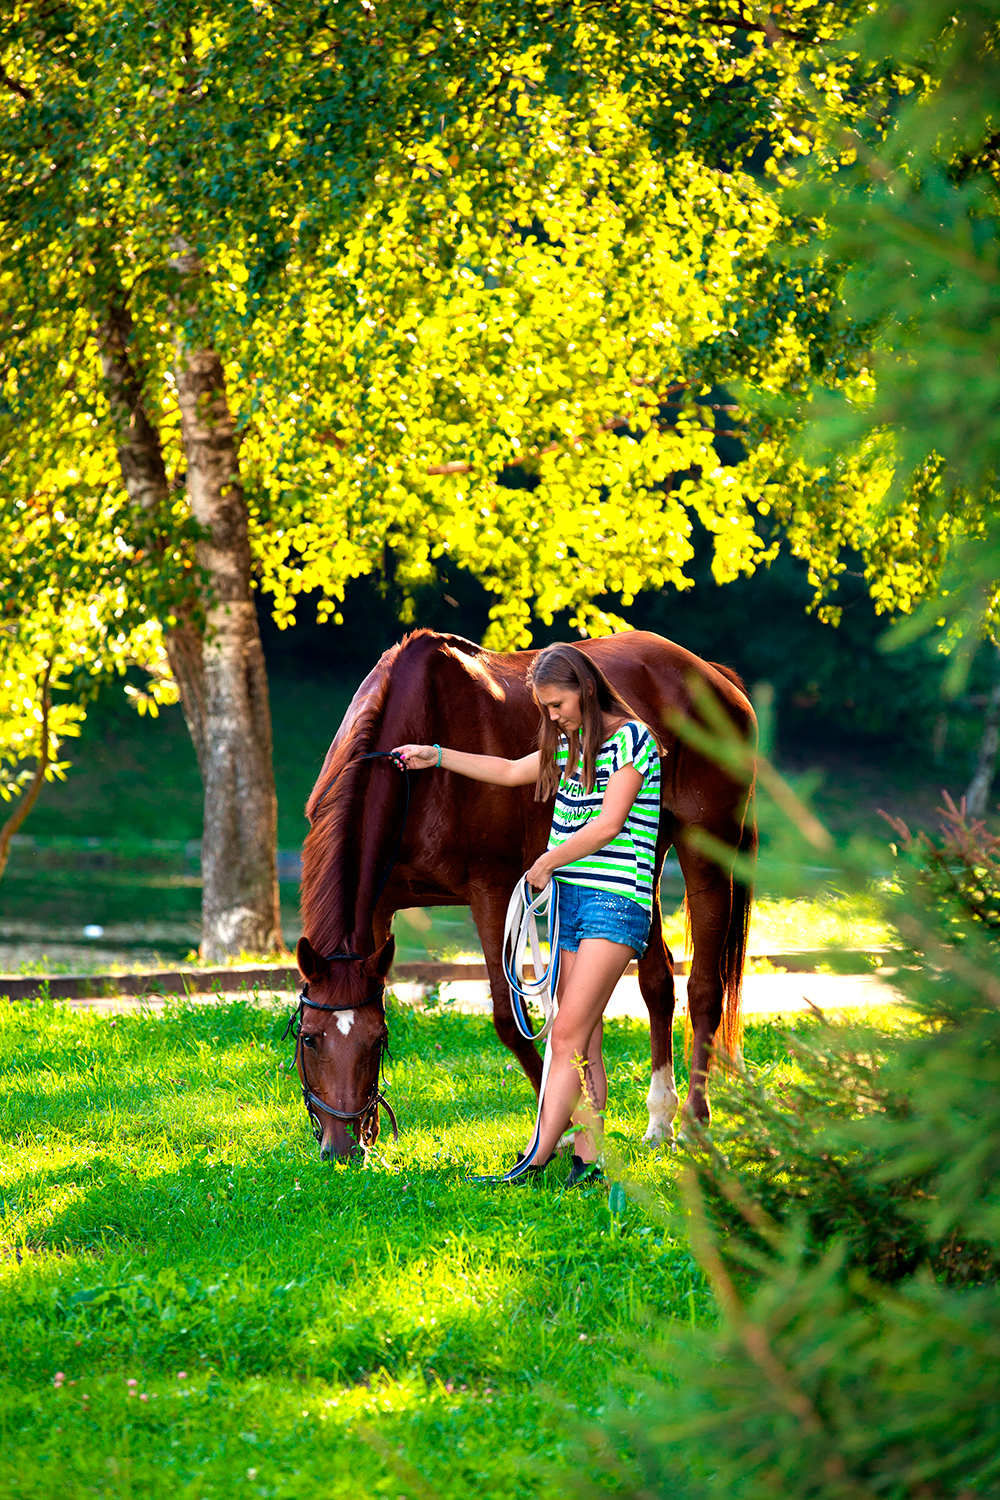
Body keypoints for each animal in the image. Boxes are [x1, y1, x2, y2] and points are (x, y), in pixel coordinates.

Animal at [293, 630, 755, 1158]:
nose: (342, 1147)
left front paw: (560, 1130)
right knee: (657, 982)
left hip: (707, 851)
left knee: (704, 990)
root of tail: (714, 678)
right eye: (309, 1039)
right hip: (641, 861)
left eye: (375, 1041)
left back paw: (696, 1124)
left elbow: (507, 1019)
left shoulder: (492, 892)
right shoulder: (378, 907)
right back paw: (660, 1119)